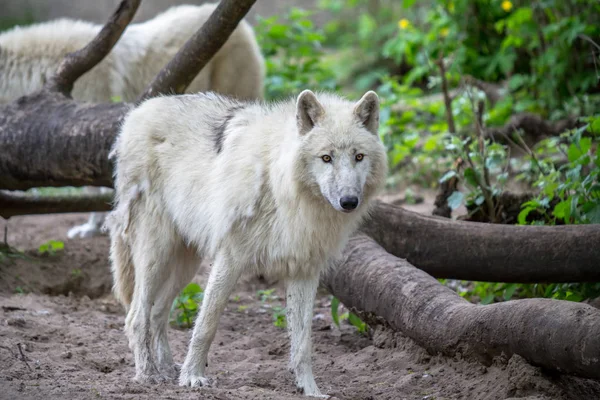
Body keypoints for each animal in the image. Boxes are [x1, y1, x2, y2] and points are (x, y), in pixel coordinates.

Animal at [106, 89, 390, 396]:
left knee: (158, 313)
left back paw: (168, 370)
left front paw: (310, 390)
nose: (349, 201)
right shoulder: (230, 258)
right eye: (326, 157)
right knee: (137, 316)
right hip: (156, 254)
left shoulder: (304, 269)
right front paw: (193, 377)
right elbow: (206, 324)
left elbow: (303, 343)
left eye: (358, 156)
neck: (283, 190)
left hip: (186, 264)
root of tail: (139, 110)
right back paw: (148, 374)